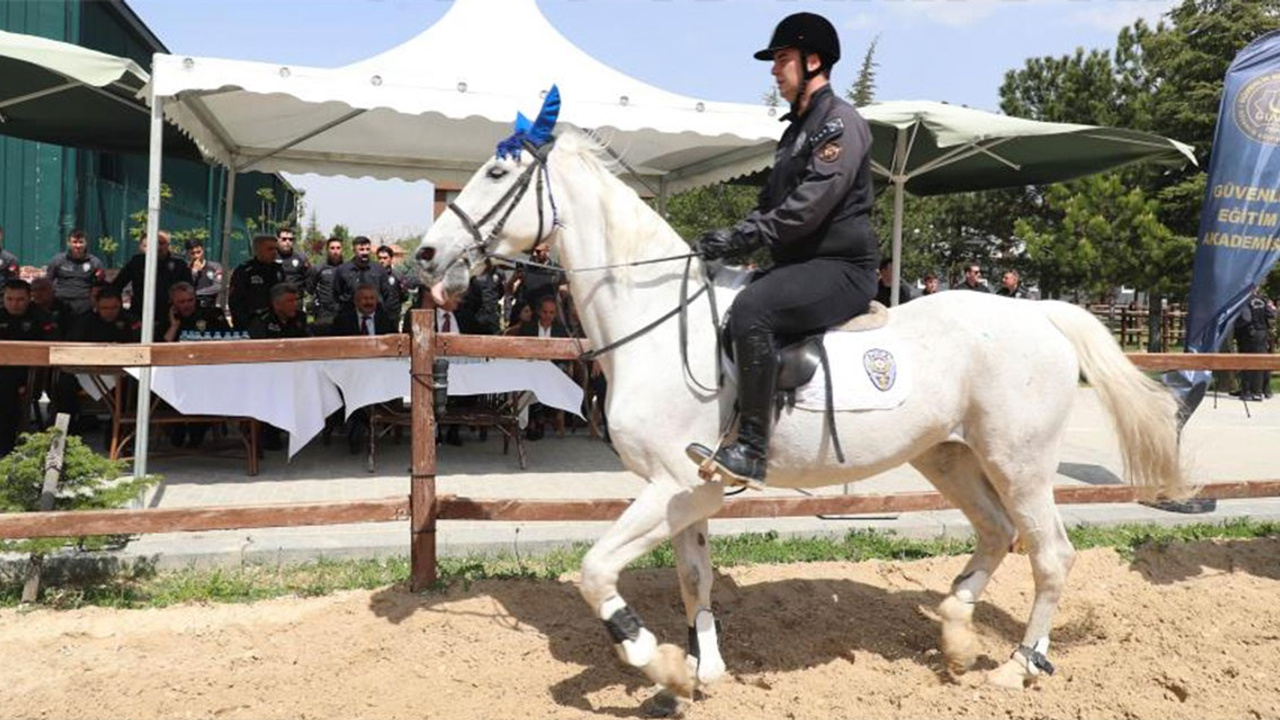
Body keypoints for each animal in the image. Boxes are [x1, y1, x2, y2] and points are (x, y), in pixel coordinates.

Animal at [419, 127, 1187, 696]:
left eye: (496, 173)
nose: (425, 257)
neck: (657, 322)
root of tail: (1042, 314)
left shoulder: (672, 484)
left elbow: (595, 571)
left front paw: (652, 658)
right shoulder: (690, 494)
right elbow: (692, 578)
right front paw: (704, 670)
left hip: (1019, 462)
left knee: (1051, 553)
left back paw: (1017, 668)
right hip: (948, 456)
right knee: (998, 535)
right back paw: (956, 633)